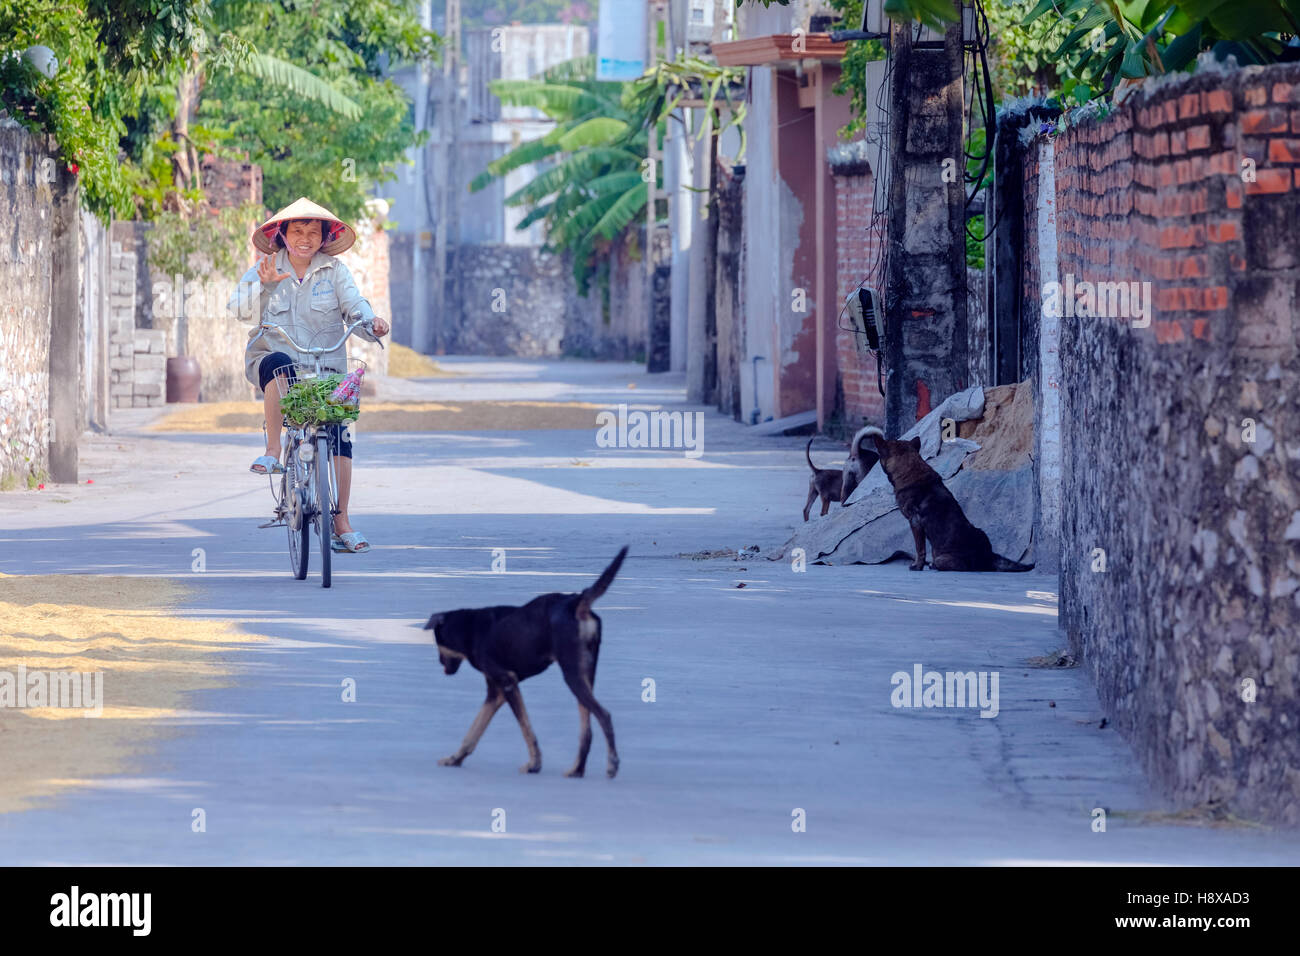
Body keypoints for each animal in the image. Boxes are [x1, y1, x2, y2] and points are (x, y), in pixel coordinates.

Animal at [426, 548, 629, 780]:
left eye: (437, 642)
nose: (439, 662)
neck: (468, 629)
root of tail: (576, 601)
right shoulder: (496, 692)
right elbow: (474, 731)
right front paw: (455, 759)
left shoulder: (507, 682)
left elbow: (526, 728)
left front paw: (534, 764)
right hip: (586, 673)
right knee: (587, 729)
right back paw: (577, 770)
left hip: (571, 674)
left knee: (604, 716)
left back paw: (611, 765)